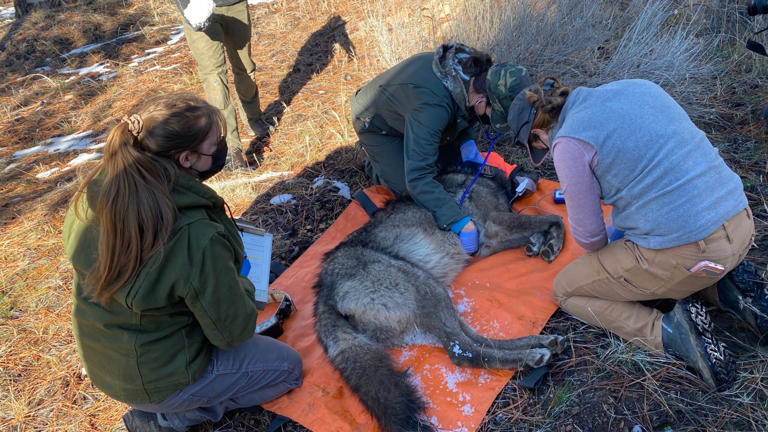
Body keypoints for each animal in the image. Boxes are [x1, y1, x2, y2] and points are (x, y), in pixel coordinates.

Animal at [313, 167, 566, 432]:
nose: (537, 174)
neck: (482, 173)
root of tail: (322, 296)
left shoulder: (487, 243)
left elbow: (538, 226)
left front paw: (538, 242)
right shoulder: (496, 223)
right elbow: (553, 218)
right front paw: (553, 243)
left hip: (433, 303)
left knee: (475, 341)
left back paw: (542, 343)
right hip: (428, 289)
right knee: (463, 351)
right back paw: (532, 356)